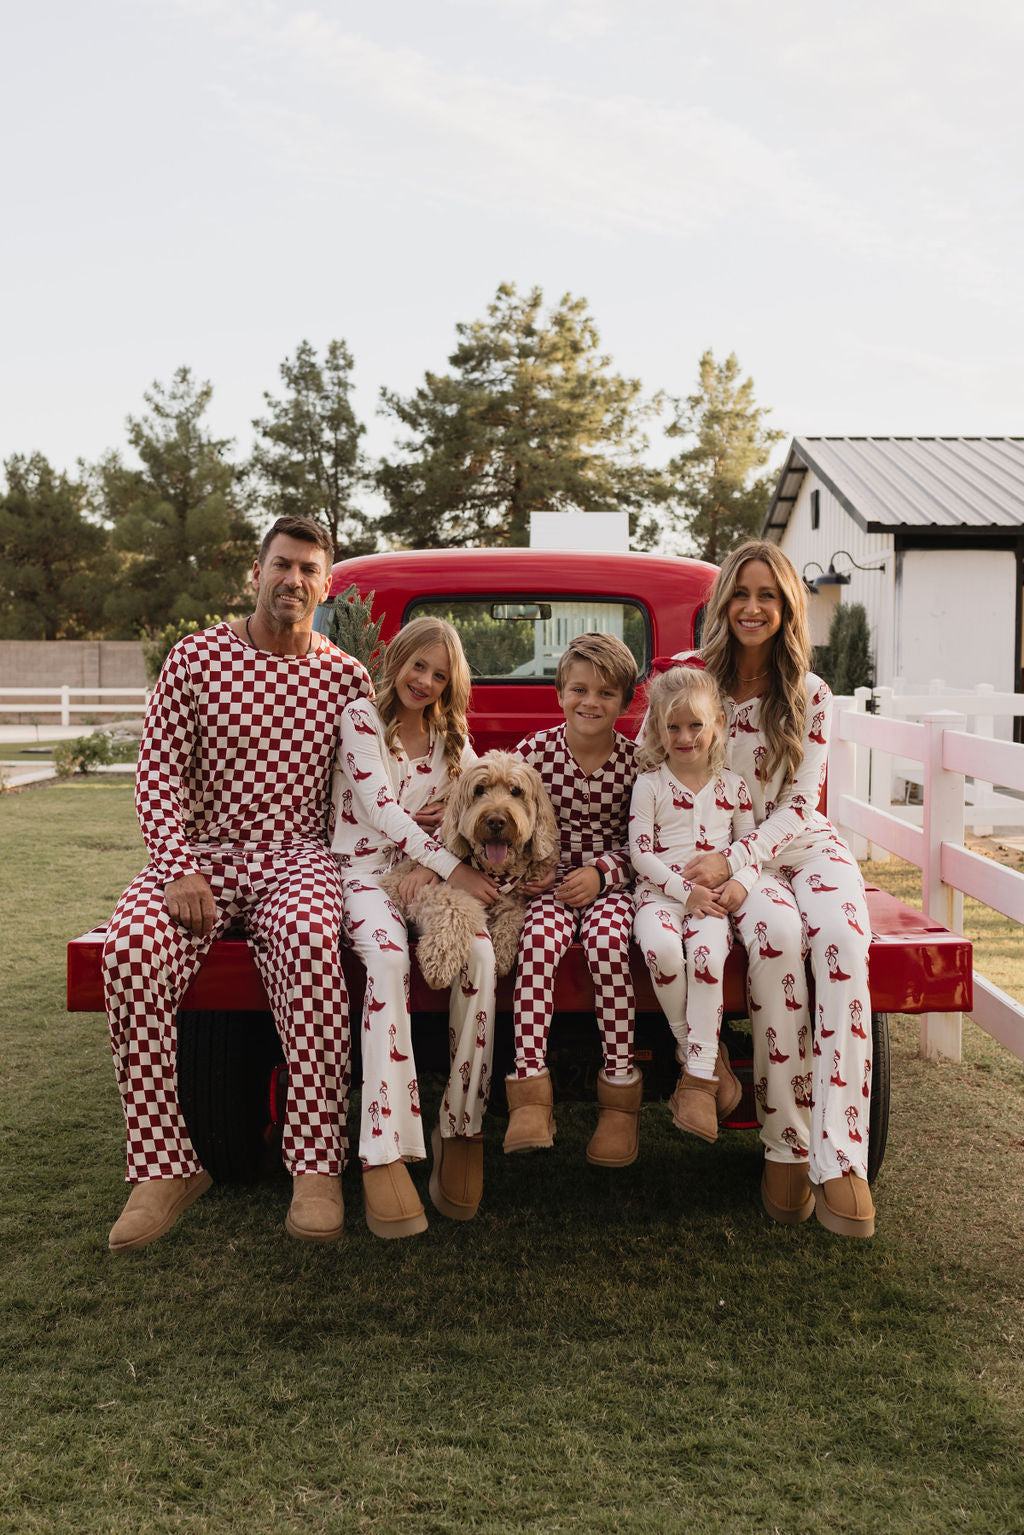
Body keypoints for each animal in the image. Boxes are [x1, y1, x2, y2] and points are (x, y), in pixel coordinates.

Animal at [382, 752, 561, 988]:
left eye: (516, 791)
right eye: (479, 789)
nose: (496, 821)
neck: (496, 873)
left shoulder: (513, 899)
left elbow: (512, 917)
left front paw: (503, 952)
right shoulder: (422, 891)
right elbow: (457, 908)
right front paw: (440, 962)